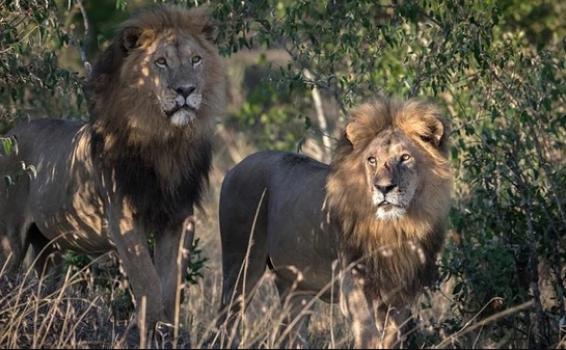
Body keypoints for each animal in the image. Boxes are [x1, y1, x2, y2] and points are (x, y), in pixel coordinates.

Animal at [0, 4, 226, 340]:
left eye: (196, 59)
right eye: (160, 62)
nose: (186, 90)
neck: (165, 141)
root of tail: (9, 134)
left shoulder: (180, 217)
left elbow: (172, 286)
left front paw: (167, 332)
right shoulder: (123, 218)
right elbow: (149, 283)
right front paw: (144, 331)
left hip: (47, 245)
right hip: (9, 239)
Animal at [220, 98, 454, 348]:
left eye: (405, 158)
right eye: (372, 160)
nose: (383, 188)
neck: (392, 228)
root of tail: (234, 168)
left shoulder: (399, 292)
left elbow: (391, 337)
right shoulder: (353, 285)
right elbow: (369, 335)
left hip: (295, 287)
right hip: (241, 266)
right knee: (226, 321)